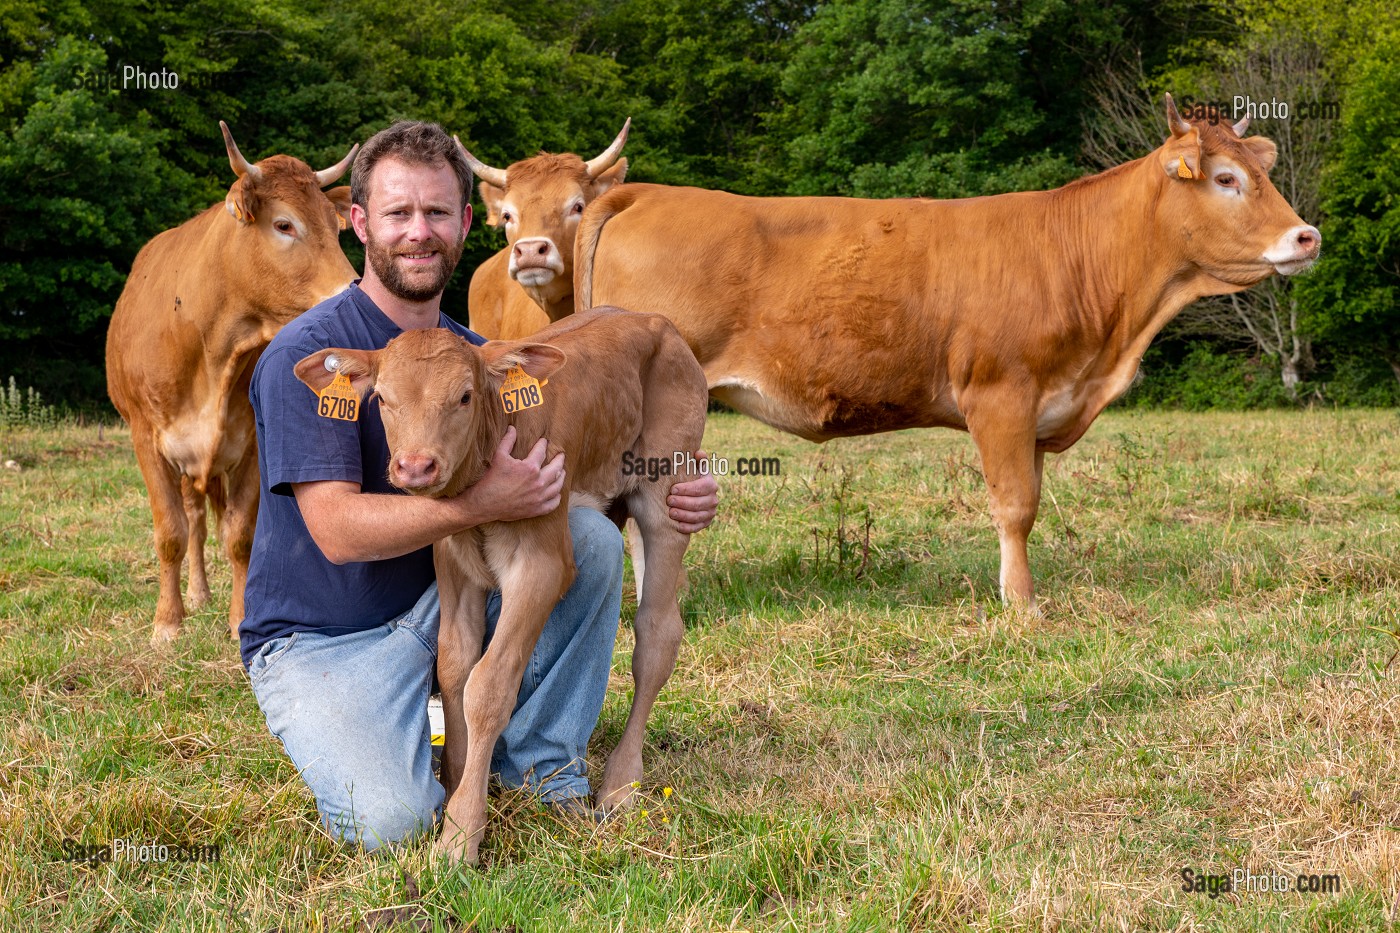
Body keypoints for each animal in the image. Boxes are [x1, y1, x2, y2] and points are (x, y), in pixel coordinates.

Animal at [106, 123, 359, 644]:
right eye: (284, 225)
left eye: (333, 222)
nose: (350, 291)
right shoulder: (146, 437)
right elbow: (170, 533)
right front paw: (168, 622)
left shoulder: (249, 445)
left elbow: (241, 534)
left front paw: (238, 615)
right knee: (194, 521)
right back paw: (197, 594)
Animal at [573, 95, 1321, 607]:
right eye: (1225, 179)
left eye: (1257, 171)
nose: (1306, 236)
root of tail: (641, 193)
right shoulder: (1001, 394)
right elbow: (1015, 505)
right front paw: (1021, 607)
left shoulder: (1040, 408)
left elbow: (1029, 502)